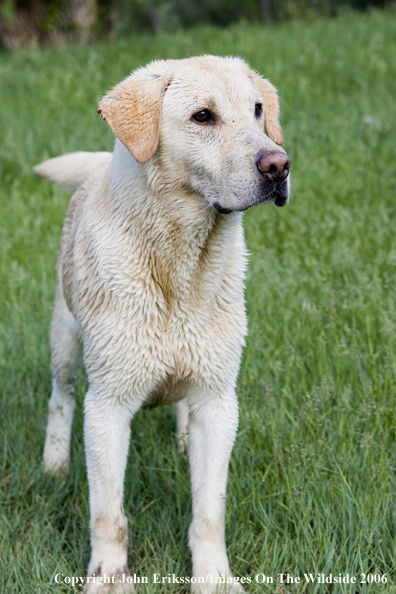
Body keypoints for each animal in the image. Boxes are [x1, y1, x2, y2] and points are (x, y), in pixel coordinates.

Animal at [34, 53, 290, 588]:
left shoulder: (218, 399)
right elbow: (108, 514)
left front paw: (214, 580)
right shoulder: (107, 406)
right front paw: (108, 580)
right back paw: (55, 466)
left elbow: (210, 511)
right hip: (64, 337)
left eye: (258, 110)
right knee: (59, 399)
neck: (179, 267)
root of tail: (97, 167)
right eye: (203, 117)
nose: (279, 164)